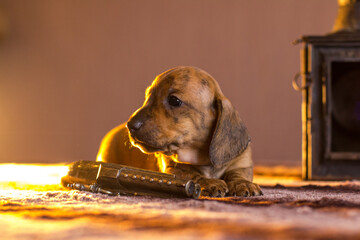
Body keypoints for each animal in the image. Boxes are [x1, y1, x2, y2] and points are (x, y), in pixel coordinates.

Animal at [97, 65, 262, 197]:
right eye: (148, 96)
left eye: (174, 100)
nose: (130, 125)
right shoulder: (174, 169)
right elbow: (192, 175)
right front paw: (210, 182)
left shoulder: (242, 163)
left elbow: (238, 173)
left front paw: (242, 183)